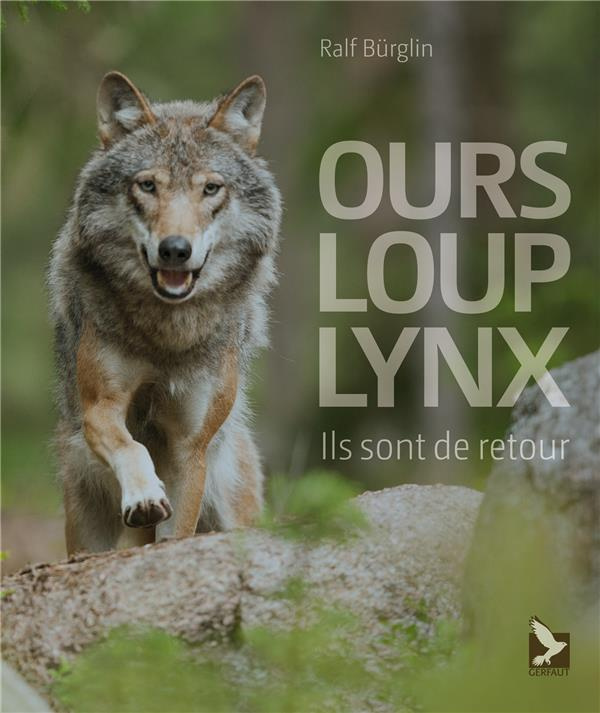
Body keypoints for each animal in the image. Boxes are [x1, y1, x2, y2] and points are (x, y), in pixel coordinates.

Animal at [48, 71, 281, 554]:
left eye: (210, 188)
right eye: (148, 185)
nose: (175, 249)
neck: (168, 334)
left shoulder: (190, 446)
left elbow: (177, 532)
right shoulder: (101, 407)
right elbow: (131, 447)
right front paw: (143, 495)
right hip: (84, 524)